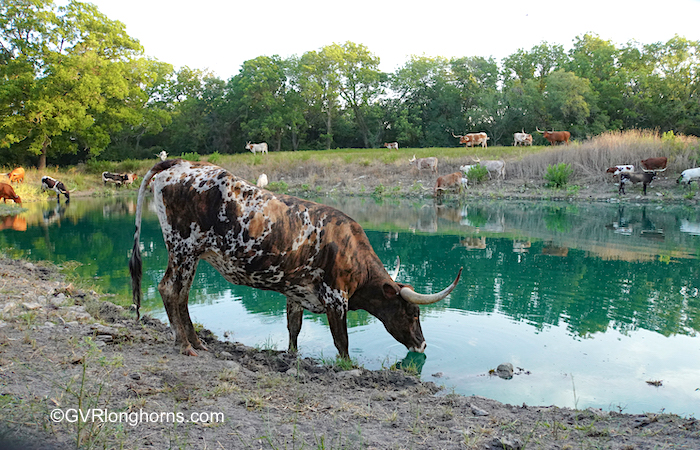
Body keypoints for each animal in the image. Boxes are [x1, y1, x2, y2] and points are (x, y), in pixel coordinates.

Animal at [129, 158, 462, 358]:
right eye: (413, 313)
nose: (422, 344)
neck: (351, 250)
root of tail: (183, 163)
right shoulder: (335, 298)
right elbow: (342, 342)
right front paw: (348, 367)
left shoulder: (295, 292)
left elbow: (293, 329)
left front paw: (293, 357)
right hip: (182, 248)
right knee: (169, 289)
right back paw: (185, 345)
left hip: (192, 255)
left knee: (182, 294)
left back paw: (198, 341)